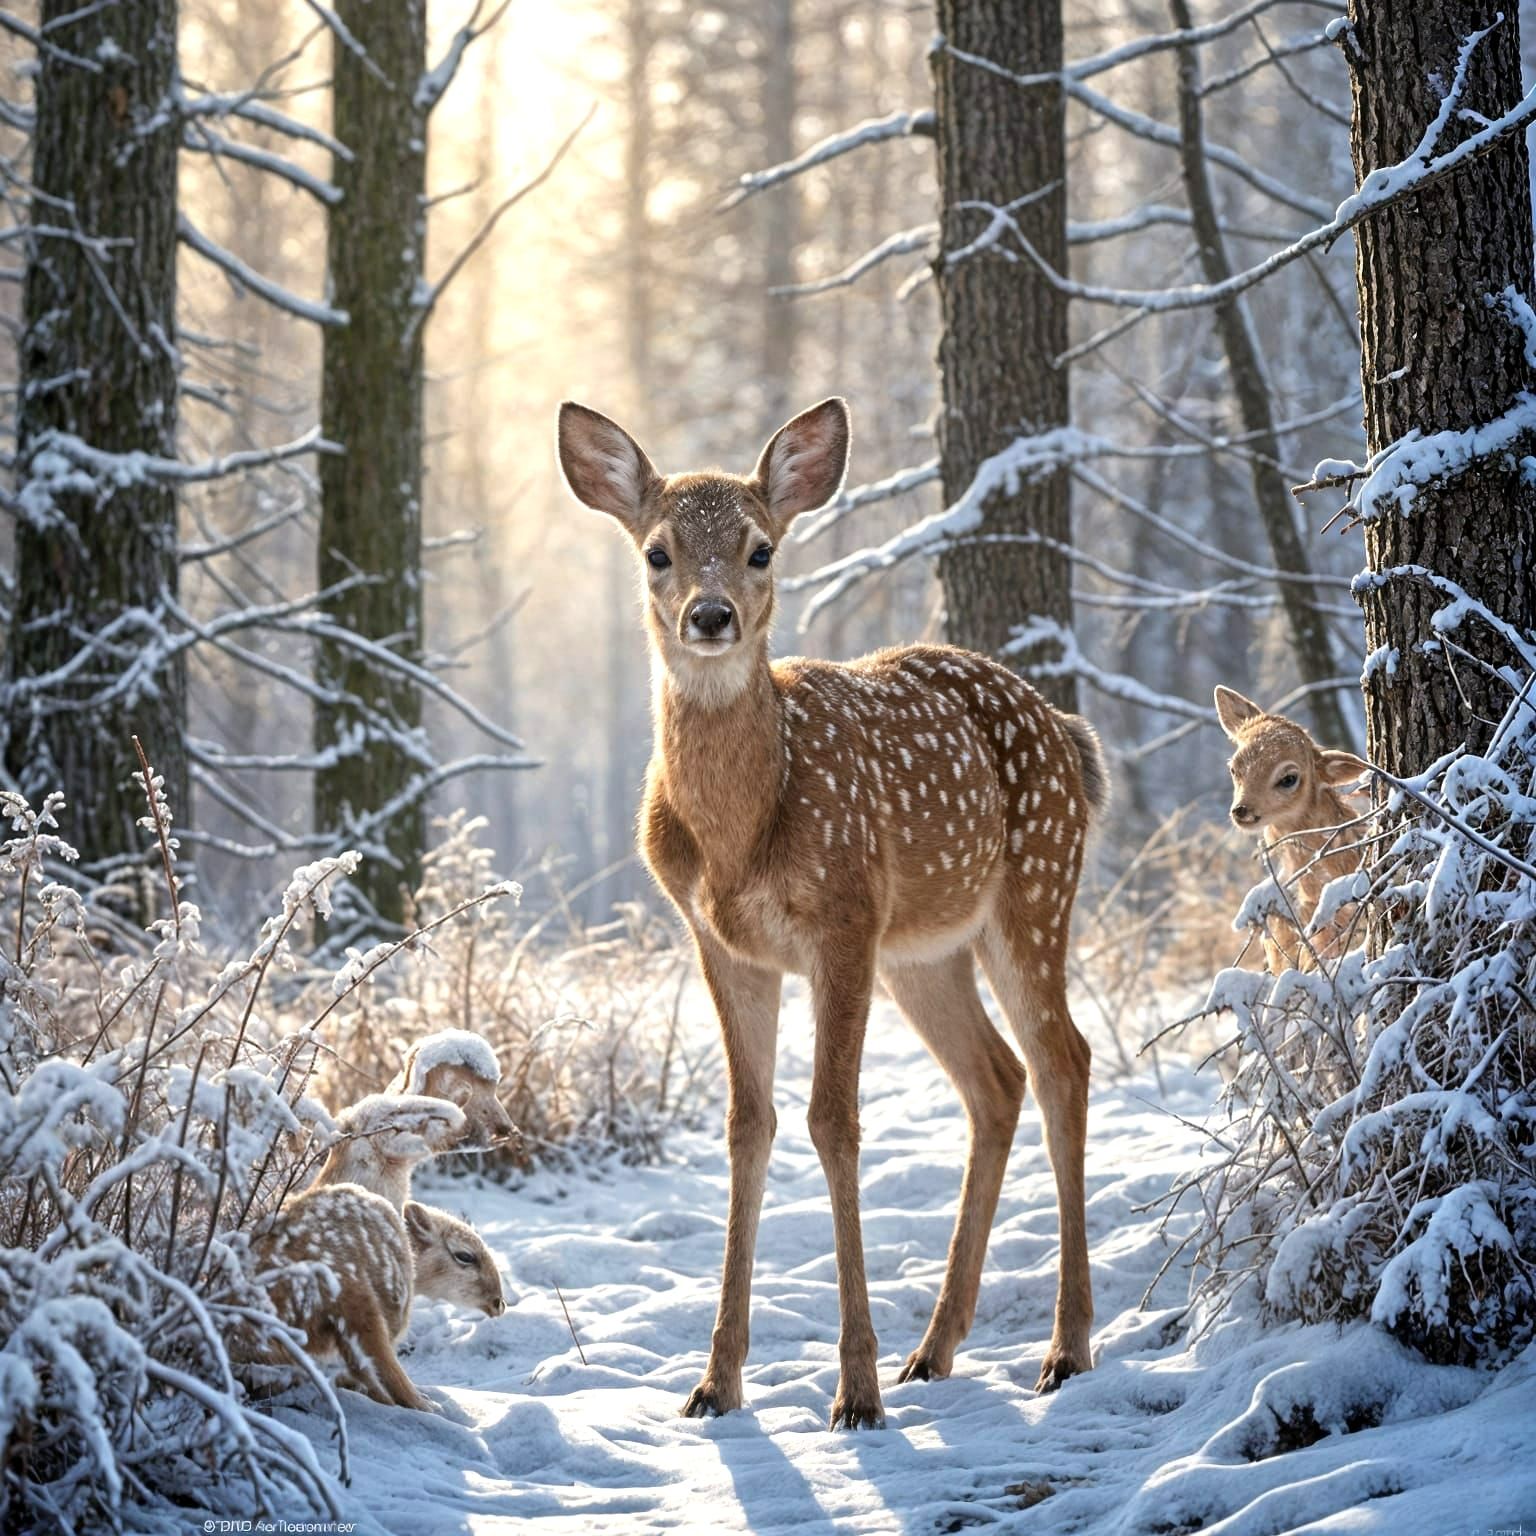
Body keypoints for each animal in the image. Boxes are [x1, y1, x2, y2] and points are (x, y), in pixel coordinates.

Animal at [556, 396, 1108, 1430]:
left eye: (761, 548)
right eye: (656, 552)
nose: (712, 615)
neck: (742, 833)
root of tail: (1068, 731)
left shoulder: (843, 917)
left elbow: (834, 1121)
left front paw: (853, 1391)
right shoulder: (723, 943)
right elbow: (749, 1124)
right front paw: (715, 1382)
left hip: (1035, 887)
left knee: (1064, 1061)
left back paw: (1064, 1349)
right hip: (924, 950)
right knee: (996, 1079)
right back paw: (935, 1348)